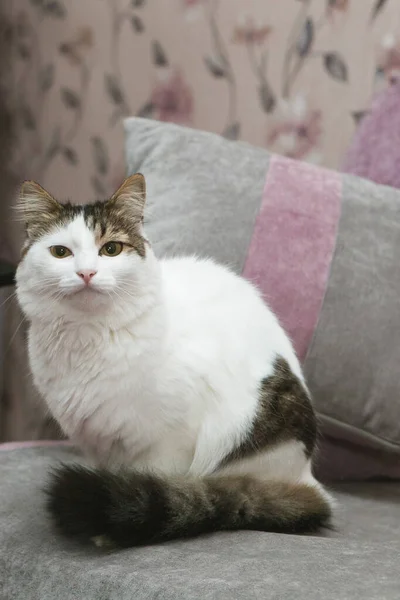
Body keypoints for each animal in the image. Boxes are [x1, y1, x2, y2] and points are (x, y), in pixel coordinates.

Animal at [16, 173, 332, 548]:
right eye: (61, 252)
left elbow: (157, 485)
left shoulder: (169, 442)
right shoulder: (100, 441)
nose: (86, 273)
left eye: (111, 249)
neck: (88, 337)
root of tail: (307, 478)